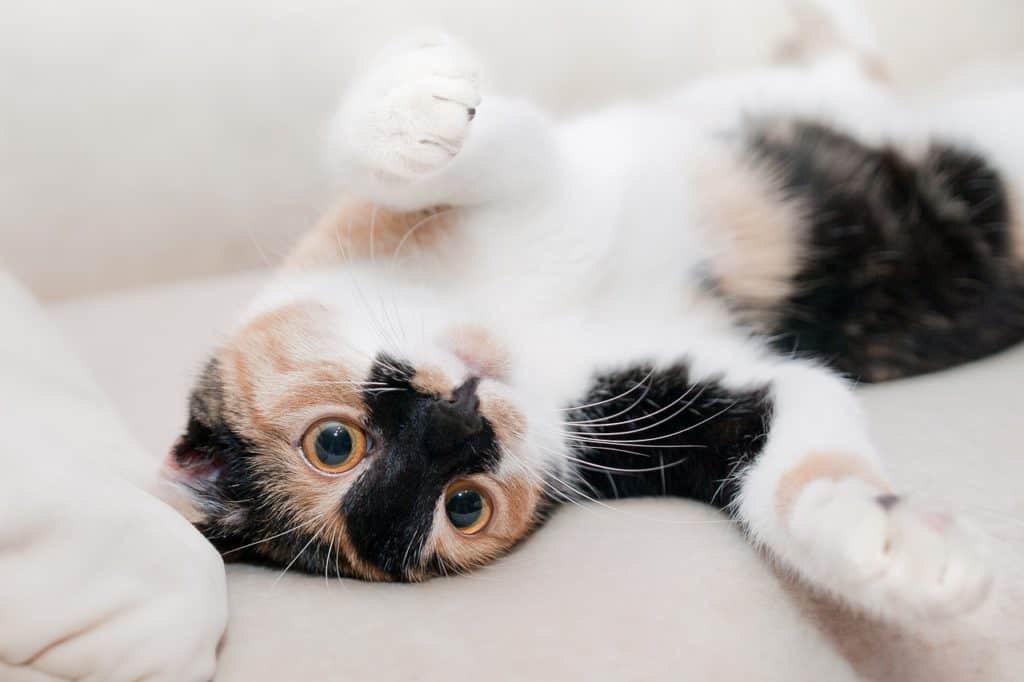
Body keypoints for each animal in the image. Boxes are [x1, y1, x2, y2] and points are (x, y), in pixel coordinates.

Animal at [163, 1, 1019, 614]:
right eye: (463, 507)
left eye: (333, 444)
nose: (461, 424)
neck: (519, 326)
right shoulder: (670, 400)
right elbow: (796, 440)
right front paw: (888, 541)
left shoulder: (477, 190)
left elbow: (415, 157)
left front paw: (409, 112)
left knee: (854, 64)